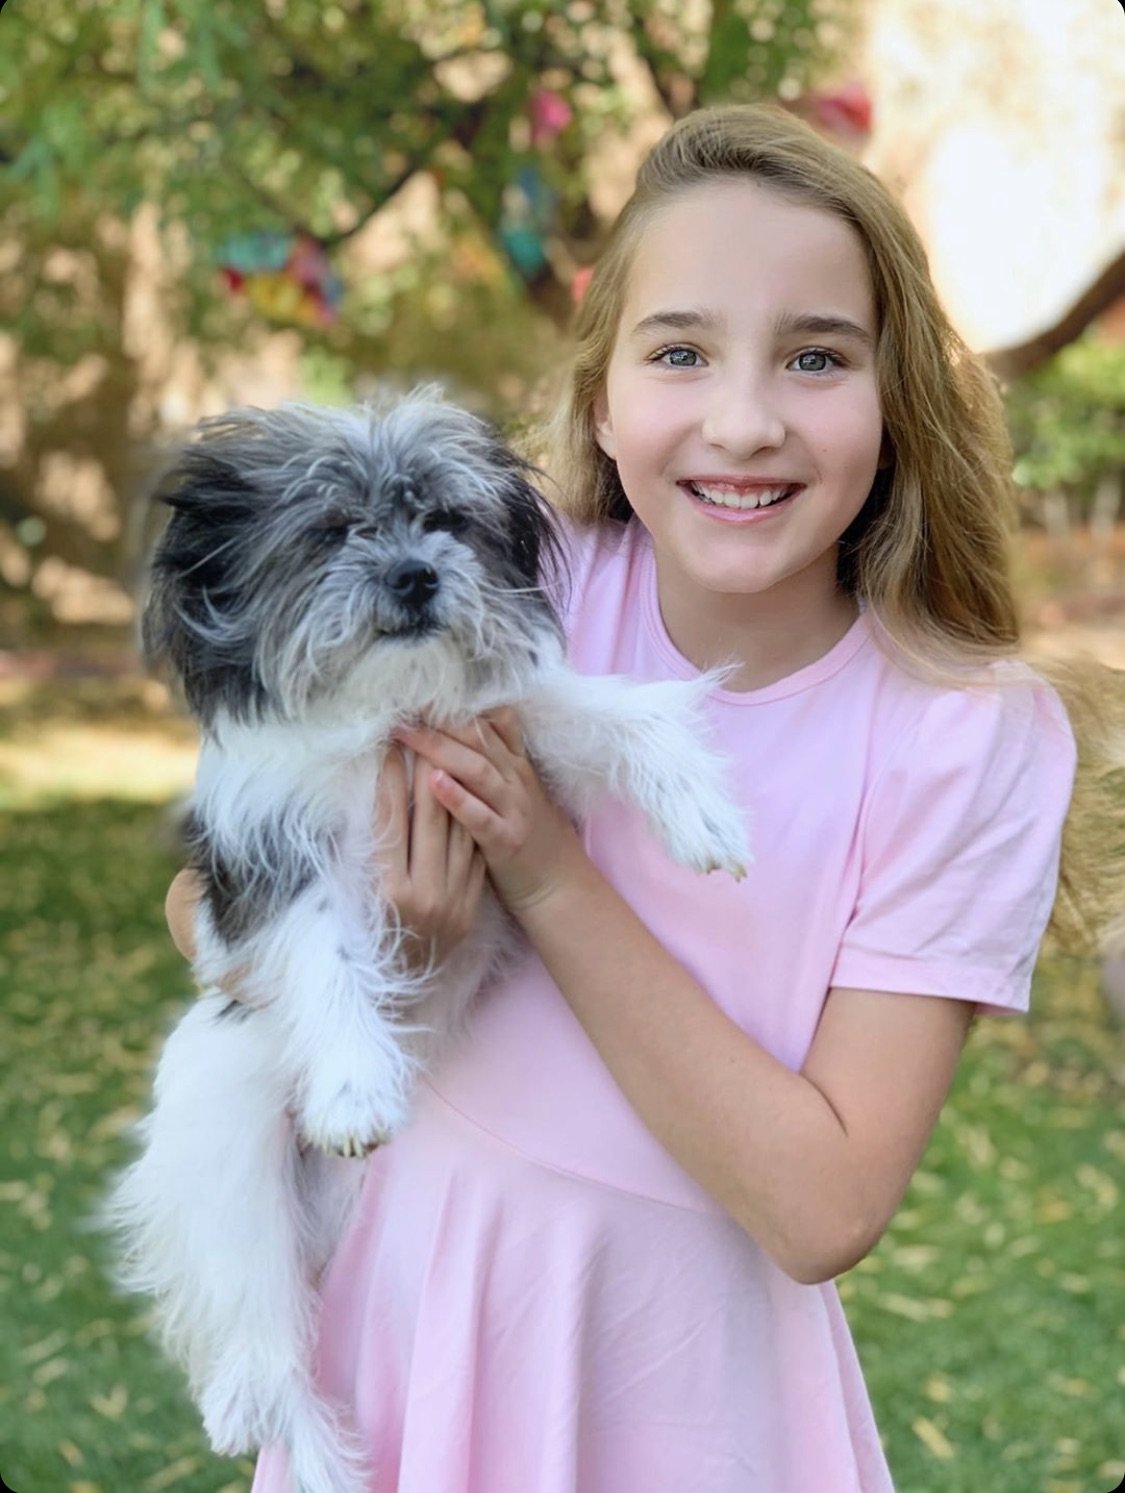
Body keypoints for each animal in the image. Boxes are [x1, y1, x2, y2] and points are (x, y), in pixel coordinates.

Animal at [109, 391, 749, 1487]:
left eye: (446, 520)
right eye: (332, 530)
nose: (413, 575)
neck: (383, 718)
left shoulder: (509, 735)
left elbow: (621, 715)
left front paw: (702, 813)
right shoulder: (276, 858)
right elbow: (326, 951)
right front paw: (355, 1088)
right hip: (223, 1135)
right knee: (253, 1316)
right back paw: (273, 1417)